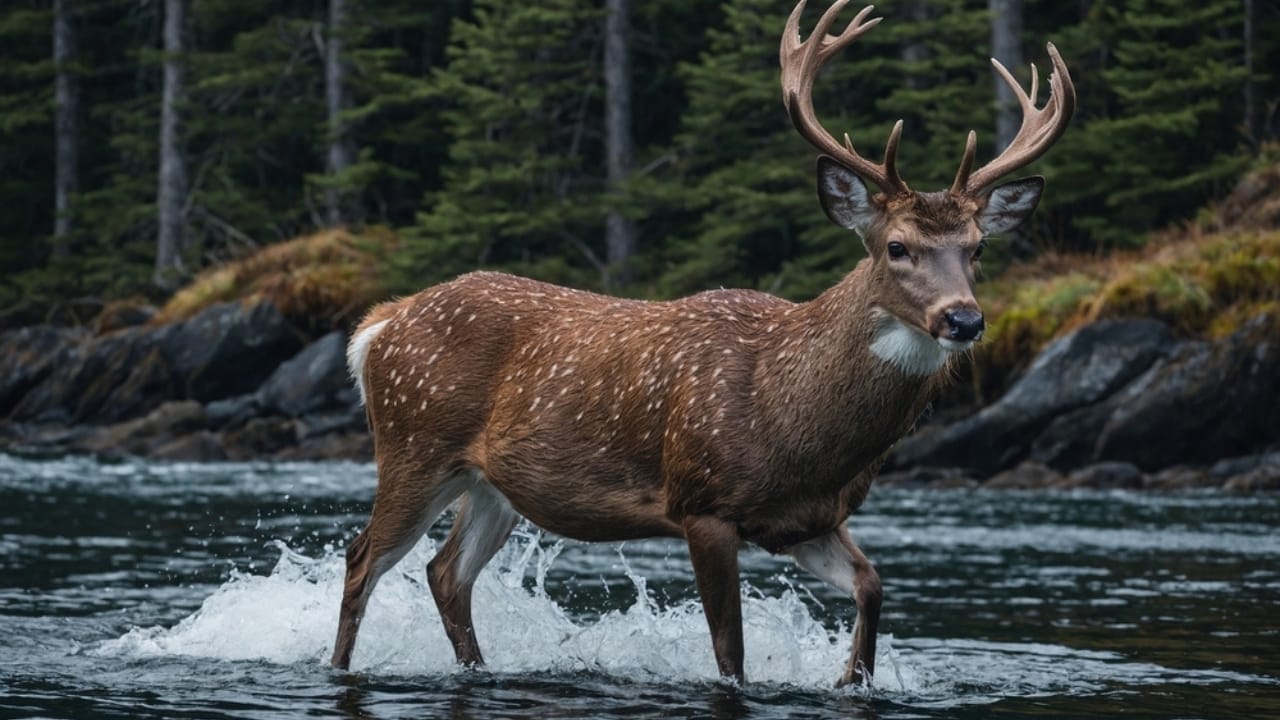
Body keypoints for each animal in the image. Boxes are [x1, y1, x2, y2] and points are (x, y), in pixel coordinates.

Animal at [330, 0, 1074, 687]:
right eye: (897, 246)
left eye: (977, 249)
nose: (963, 319)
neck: (792, 420)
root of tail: (379, 325)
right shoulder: (703, 500)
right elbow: (730, 653)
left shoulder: (807, 518)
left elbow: (872, 586)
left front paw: (847, 677)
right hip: (415, 444)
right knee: (363, 557)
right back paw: (339, 668)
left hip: (489, 483)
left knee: (445, 572)